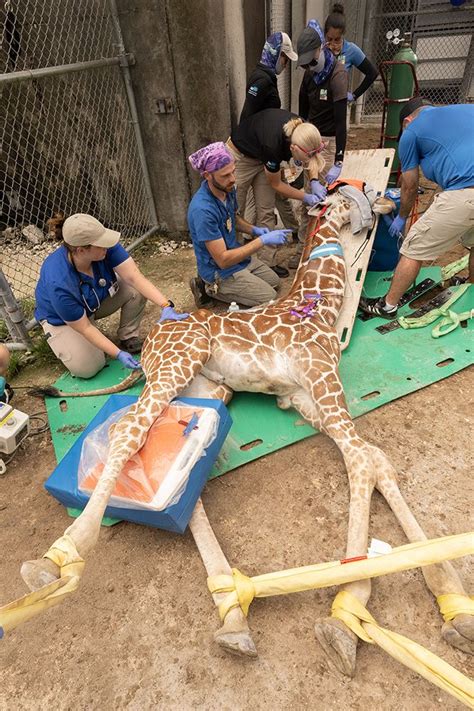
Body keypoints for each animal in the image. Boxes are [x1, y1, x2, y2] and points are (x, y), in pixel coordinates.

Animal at [20, 192, 472, 676]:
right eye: (355, 194)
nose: (389, 202)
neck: (319, 302)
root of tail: (150, 340)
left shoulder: (302, 397)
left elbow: (373, 457)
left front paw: (452, 599)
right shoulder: (322, 379)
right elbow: (361, 459)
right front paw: (347, 614)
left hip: (205, 388)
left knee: (182, 471)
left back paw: (233, 615)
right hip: (178, 363)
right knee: (128, 430)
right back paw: (55, 562)